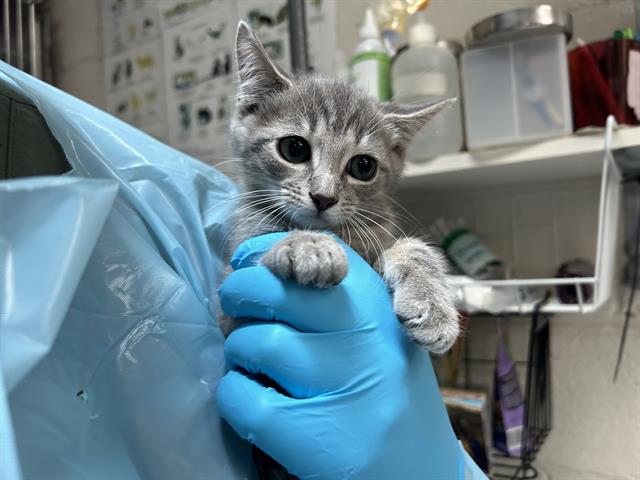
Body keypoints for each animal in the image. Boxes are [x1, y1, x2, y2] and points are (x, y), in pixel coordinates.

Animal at [225, 21, 460, 480]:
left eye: (362, 167)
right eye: (294, 148)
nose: (323, 197)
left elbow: (411, 247)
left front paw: (432, 304)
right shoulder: (231, 275)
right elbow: (263, 248)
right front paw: (309, 247)